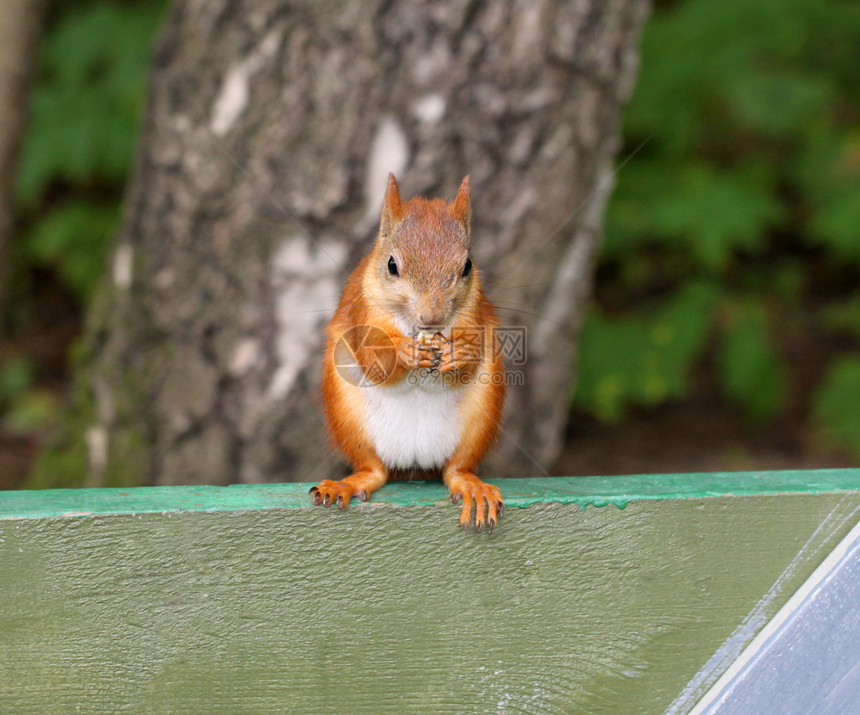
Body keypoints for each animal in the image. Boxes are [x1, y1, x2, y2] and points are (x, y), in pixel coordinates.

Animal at [312, 174, 508, 532]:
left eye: (467, 266)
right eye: (391, 265)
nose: (432, 317)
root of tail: (414, 460)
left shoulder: (475, 316)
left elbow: (470, 359)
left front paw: (458, 354)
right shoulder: (361, 314)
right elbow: (374, 362)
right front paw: (405, 353)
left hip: (479, 421)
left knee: (456, 470)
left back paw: (472, 488)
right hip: (348, 419)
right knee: (373, 470)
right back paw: (346, 484)